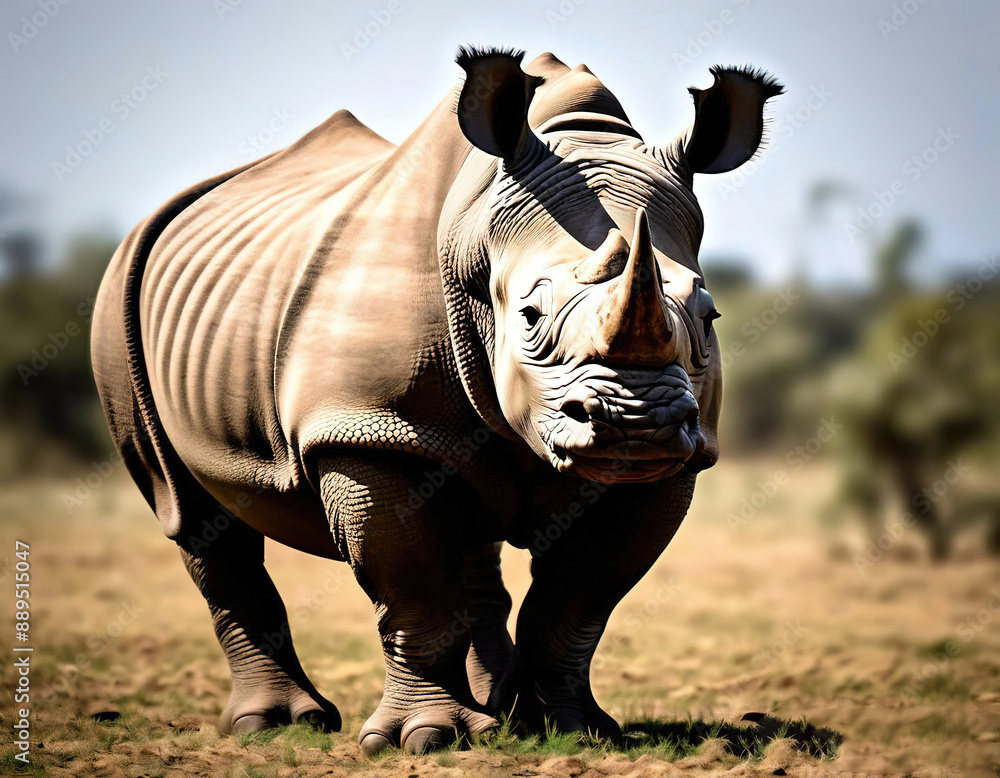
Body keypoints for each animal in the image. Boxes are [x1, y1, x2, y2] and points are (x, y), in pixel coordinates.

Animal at [91, 46, 782, 755]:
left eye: (708, 317)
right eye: (529, 317)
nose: (639, 423)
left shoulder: (673, 461)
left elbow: (580, 599)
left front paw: (574, 730)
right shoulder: (367, 433)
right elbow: (414, 588)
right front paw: (423, 739)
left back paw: (503, 712)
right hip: (117, 301)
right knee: (189, 511)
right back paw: (278, 726)